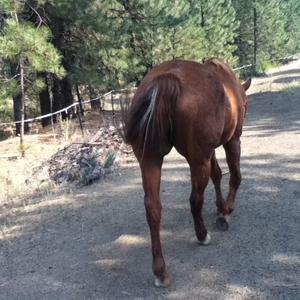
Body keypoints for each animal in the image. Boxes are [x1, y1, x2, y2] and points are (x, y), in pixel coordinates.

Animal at [124, 58, 251, 286]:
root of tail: (167, 78)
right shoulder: (232, 140)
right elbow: (235, 176)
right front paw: (226, 210)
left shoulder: (210, 151)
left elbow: (217, 174)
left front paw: (220, 206)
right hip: (198, 160)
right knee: (195, 199)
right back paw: (202, 235)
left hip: (150, 159)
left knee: (153, 207)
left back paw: (160, 271)